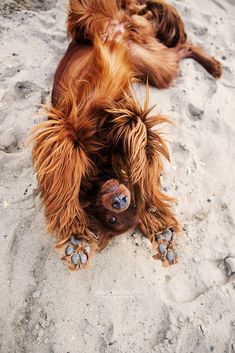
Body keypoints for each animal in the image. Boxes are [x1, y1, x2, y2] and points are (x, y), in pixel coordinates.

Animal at [31, 0, 222, 270]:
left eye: (119, 214)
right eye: (112, 217)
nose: (120, 201)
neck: (100, 164)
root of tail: (122, 28)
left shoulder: (131, 119)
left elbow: (143, 155)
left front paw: (159, 227)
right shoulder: (69, 135)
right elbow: (66, 182)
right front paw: (76, 238)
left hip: (156, 65)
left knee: (182, 47)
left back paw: (212, 66)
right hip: (98, 21)